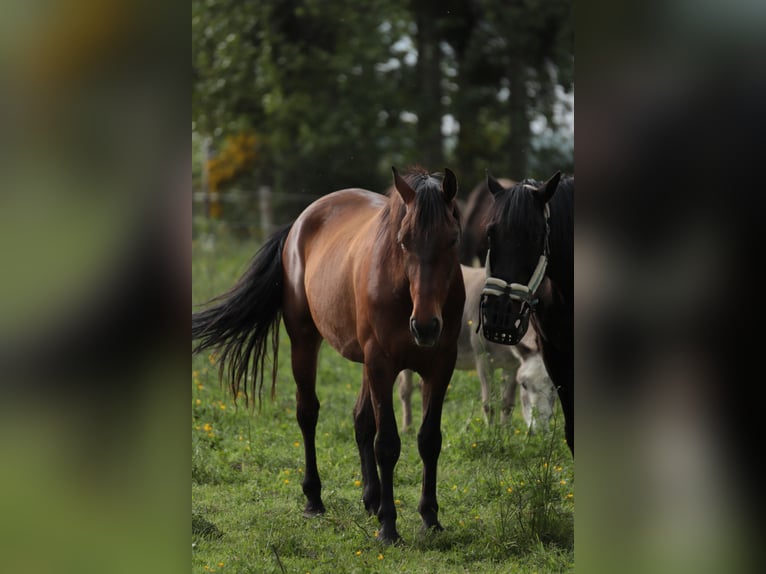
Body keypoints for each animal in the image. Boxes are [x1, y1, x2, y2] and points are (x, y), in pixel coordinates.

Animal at [192, 166, 465, 544]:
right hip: (305, 342)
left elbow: (428, 440)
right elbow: (387, 444)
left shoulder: (440, 366)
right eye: (403, 241)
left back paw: (371, 499)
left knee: (361, 420)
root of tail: (299, 223)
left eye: (452, 240)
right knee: (308, 414)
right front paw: (389, 527)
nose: (425, 326)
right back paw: (314, 500)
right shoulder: (381, 364)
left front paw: (430, 518)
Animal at [397, 266, 555, 431]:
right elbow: (488, 403)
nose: (539, 429)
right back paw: (407, 428)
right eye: (524, 384)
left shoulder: (512, 364)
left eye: (554, 388)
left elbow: (507, 403)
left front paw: (505, 431)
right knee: (405, 390)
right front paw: (490, 432)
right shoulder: (482, 358)